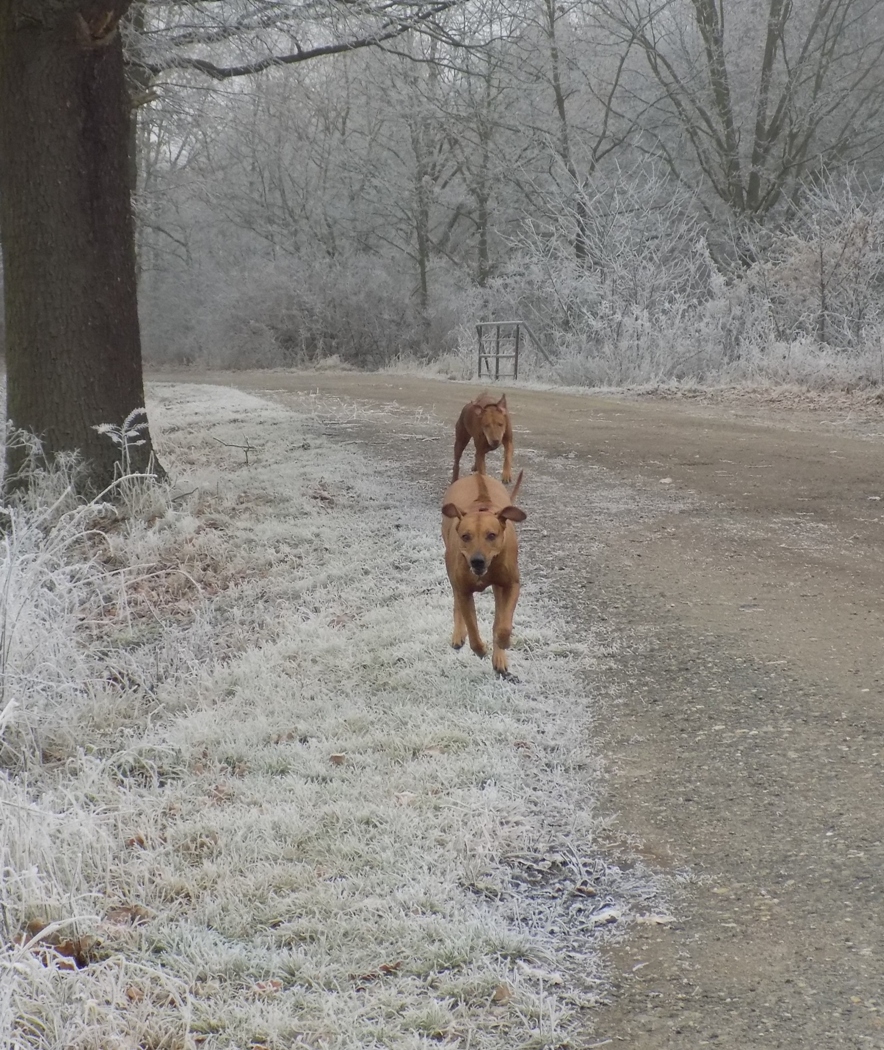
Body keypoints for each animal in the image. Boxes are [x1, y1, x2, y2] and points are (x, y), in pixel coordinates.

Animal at [441, 470, 526, 678]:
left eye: (491, 535)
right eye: (465, 536)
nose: (477, 561)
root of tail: (477, 474)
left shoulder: (512, 584)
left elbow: (503, 625)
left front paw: (502, 642)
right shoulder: (464, 590)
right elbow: (472, 629)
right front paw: (480, 649)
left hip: (498, 586)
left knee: (499, 615)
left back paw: (499, 656)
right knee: (456, 601)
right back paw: (458, 634)